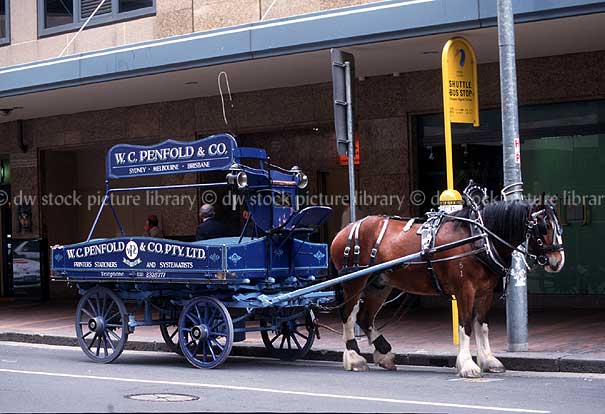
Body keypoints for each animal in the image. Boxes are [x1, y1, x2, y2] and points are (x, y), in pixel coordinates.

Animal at [328, 199, 564, 376]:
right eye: (544, 227)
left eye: (558, 226)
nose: (558, 261)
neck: (477, 238)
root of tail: (343, 231)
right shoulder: (465, 290)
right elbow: (466, 325)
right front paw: (468, 365)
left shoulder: (485, 292)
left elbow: (482, 326)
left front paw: (489, 361)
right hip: (354, 282)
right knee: (348, 316)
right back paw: (354, 358)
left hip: (379, 286)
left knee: (365, 318)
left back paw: (384, 353)